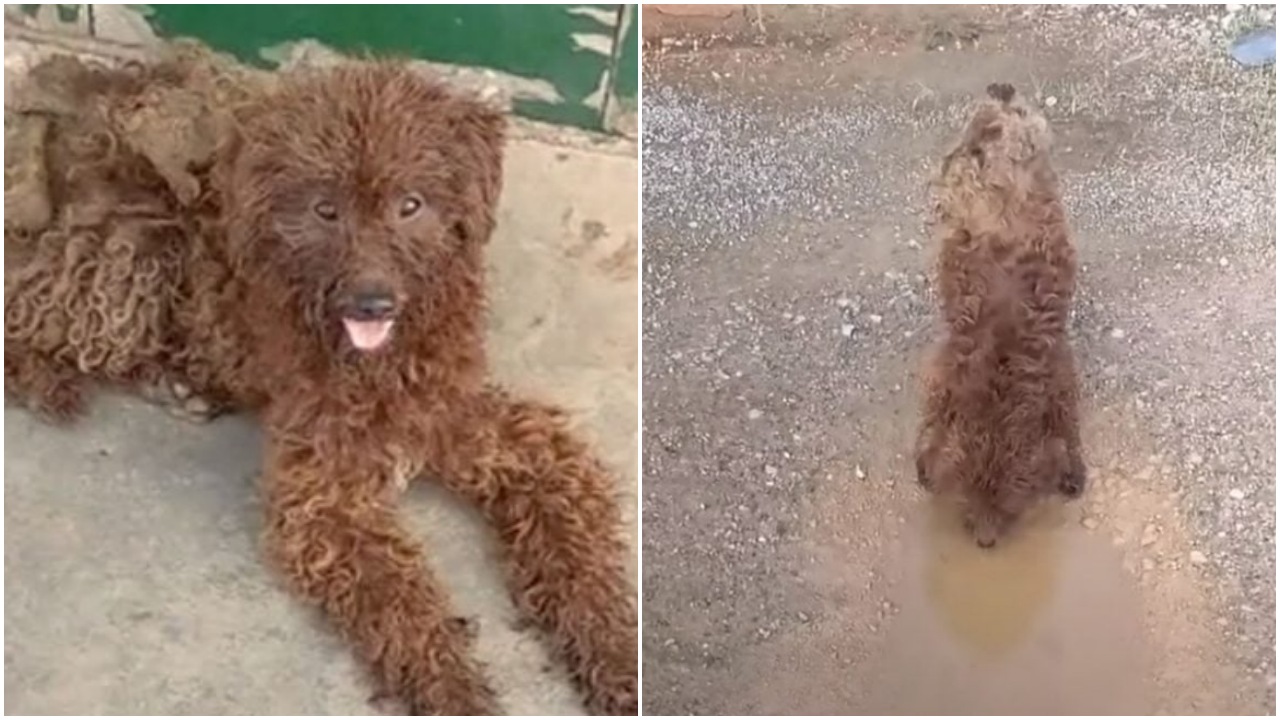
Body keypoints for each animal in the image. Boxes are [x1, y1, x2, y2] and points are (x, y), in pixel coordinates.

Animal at [3, 54, 634, 712]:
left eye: (411, 204)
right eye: (325, 209)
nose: (371, 302)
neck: (381, 367)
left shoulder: (514, 442)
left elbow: (580, 561)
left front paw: (618, 662)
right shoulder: (325, 500)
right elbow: (403, 606)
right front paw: (455, 692)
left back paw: (177, 385)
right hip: (125, 253)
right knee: (28, 298)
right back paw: (53, 381)